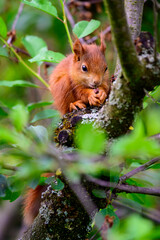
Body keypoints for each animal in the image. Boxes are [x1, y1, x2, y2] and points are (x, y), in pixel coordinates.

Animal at [23, 37, 111, 225]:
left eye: (106, 68)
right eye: (84, 67)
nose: (96, 83)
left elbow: (107, 88)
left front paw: (101, 93)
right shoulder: (73, 83)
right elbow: (81, 92)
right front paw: (90, 96)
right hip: (63, 89)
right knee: (68, 104)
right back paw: (75, 105)